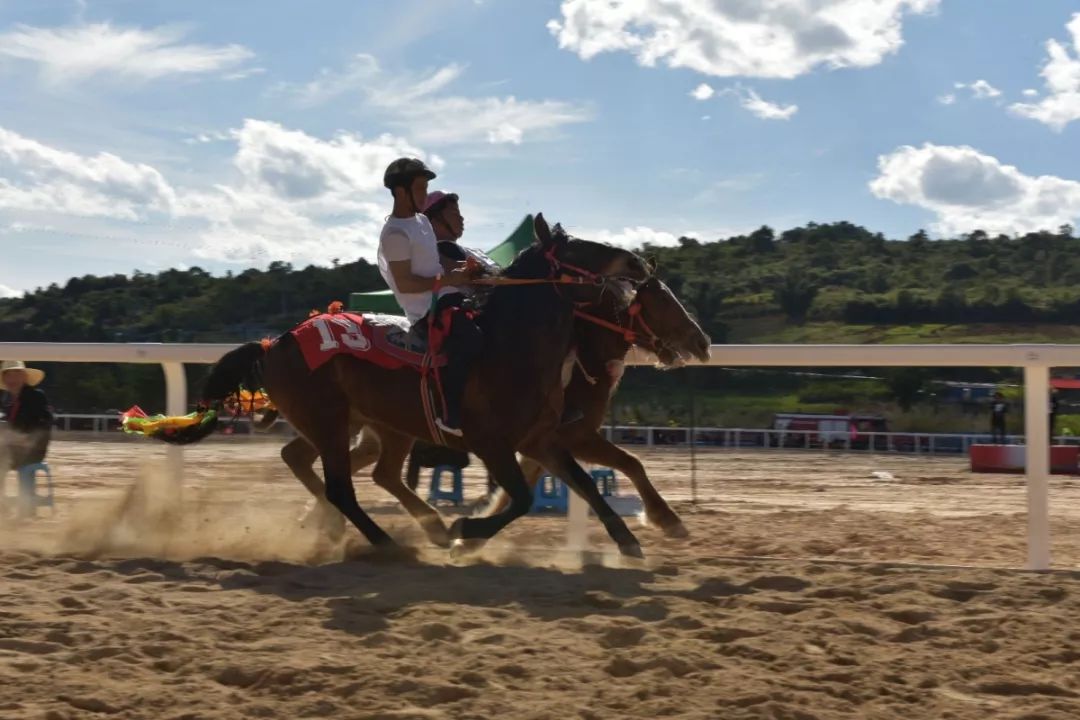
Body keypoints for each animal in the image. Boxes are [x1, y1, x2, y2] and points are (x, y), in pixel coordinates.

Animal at [194, 213, 648, 557]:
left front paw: (627, 541)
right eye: (580, 248)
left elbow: (584, 484)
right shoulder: (492, 444)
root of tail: (275, 343)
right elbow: (521, 498)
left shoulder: (541, 439)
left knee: (335, 466)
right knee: (342, 487)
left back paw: (394, 527)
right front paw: (467, 531)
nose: (637, 262)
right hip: (331, 424)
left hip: (364, 425)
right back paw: (388, 542)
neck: (510, 348)